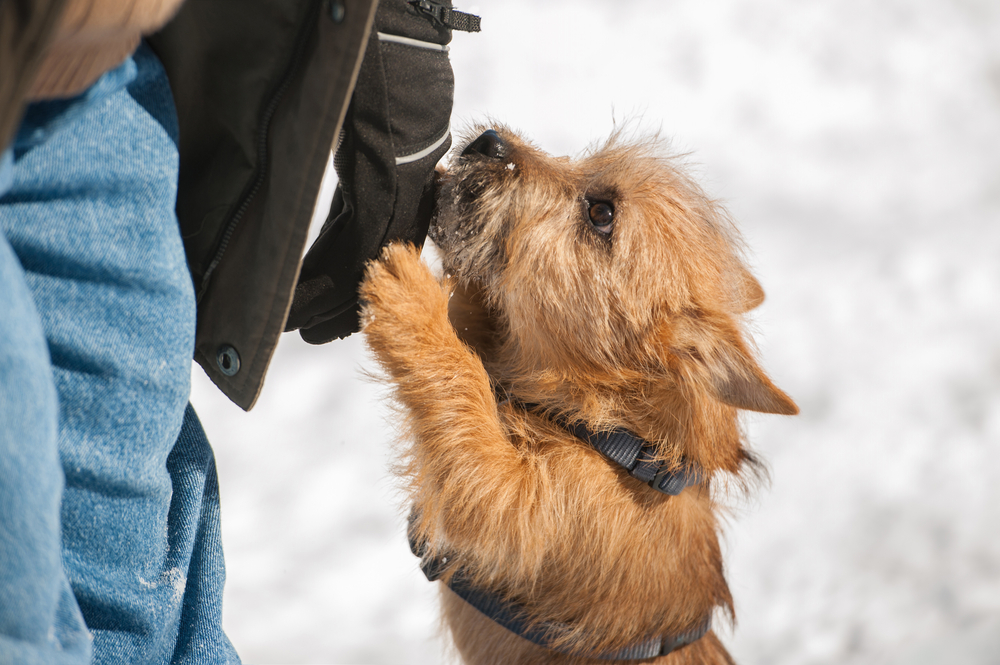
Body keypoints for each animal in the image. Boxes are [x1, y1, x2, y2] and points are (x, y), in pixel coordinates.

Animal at [360, 126, 796, 664]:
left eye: (601, 213)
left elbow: (464, 401)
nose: (489, 142)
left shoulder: (517, 503)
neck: (616, 435)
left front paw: (413, 304)